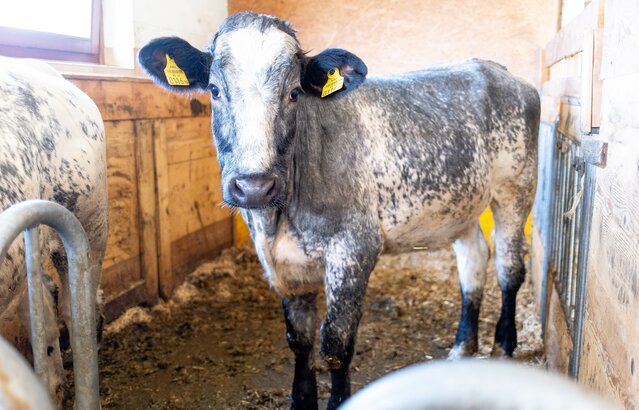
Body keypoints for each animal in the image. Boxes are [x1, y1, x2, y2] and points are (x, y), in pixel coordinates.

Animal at [140, 12, 540, 410]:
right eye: (214, 90)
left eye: (294, 93)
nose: (254, 185)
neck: (280, 219)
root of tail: (498, 70)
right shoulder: (279, 261)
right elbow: (299, 339)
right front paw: (302, 399)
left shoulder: (354, 250)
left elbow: (335, 343)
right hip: (461, 205)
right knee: (474, 262)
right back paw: (462, 347)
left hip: (516, 187)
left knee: (509, 267)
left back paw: (504, 344)